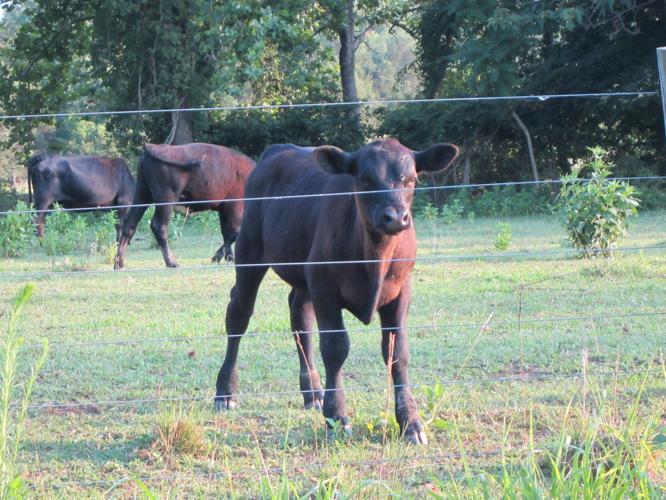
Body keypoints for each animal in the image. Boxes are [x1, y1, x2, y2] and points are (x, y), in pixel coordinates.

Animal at [114, 143, 255, 270]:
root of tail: (153, 147)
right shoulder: (235, 207)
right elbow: (234, 232)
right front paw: (218, 257)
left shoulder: (224, 210)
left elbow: (226, 233)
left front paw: (228, 257)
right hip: (166, 201)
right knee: (159, 226)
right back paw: (172, 263)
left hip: (142, 194)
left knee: (129, 225)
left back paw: (119, 264)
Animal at [214, 138, 459, 445]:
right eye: (364, 180)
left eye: (412, 180)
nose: (395, 218)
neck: (374, 257)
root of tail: (280, 149)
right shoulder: (325, 287)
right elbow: (335, 348)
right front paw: (337, 419)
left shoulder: (401, 290)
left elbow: (397, 353)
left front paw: (410, 422)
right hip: (250, 252)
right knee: (239, 315)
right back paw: (225, 392)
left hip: (302, 272)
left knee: (299, 318)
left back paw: (312, 392)